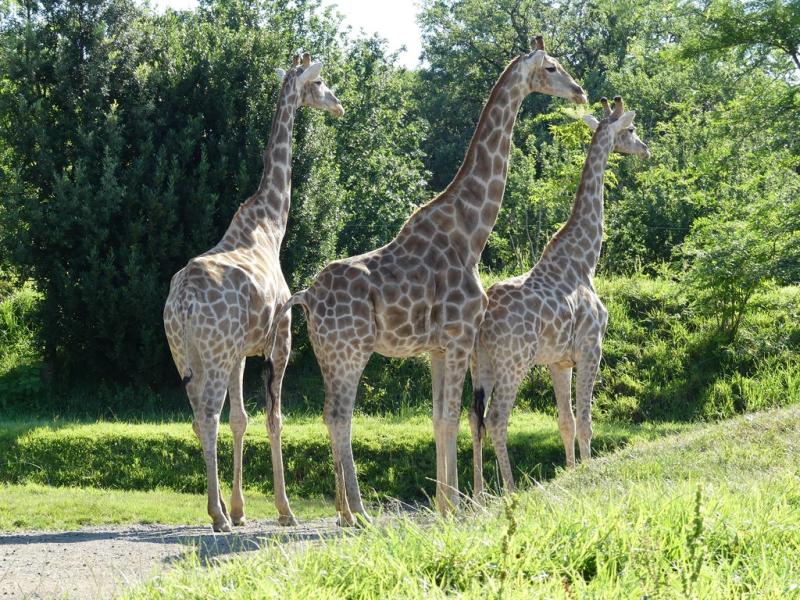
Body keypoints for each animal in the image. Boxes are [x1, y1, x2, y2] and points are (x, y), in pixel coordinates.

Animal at [163, 53, 343, 532]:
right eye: (320, 82)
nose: (338, 105)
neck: (270, 224)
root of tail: (181, 304)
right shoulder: (280, 338)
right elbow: (274, 419)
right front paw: (285, 510)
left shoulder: (242, 351)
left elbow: (241, 419)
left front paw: (243, 508)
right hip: (213, 352)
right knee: (207, 416)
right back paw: (216, 516)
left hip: (187, 354)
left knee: (198, 418)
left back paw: (223, 512)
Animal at [266, 37, 587, 524]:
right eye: (551, 67)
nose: (580, 92)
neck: (471, 234)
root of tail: (305, 296)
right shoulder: (458, 337)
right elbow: (453, 417)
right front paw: (455, 506)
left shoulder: (437, 347)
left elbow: (438, 418)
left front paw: (444, 503)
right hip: (350, 351)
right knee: (340, 416)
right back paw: (360, 512)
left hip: (328, 355)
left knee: (328, 414)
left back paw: (344, 511)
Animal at [469, 96, 650, 498]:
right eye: (631, 129)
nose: (645, 149)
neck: (585, 259)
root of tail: (482, 323)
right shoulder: (591, 346)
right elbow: (585, 419)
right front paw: (587, 468)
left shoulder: (558, 360)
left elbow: (565, 420)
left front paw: (569, 471)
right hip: (513, 361)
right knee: (497, 418)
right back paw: (509, 489)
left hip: (479, 363)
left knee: (474, 418)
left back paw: (476, 496)